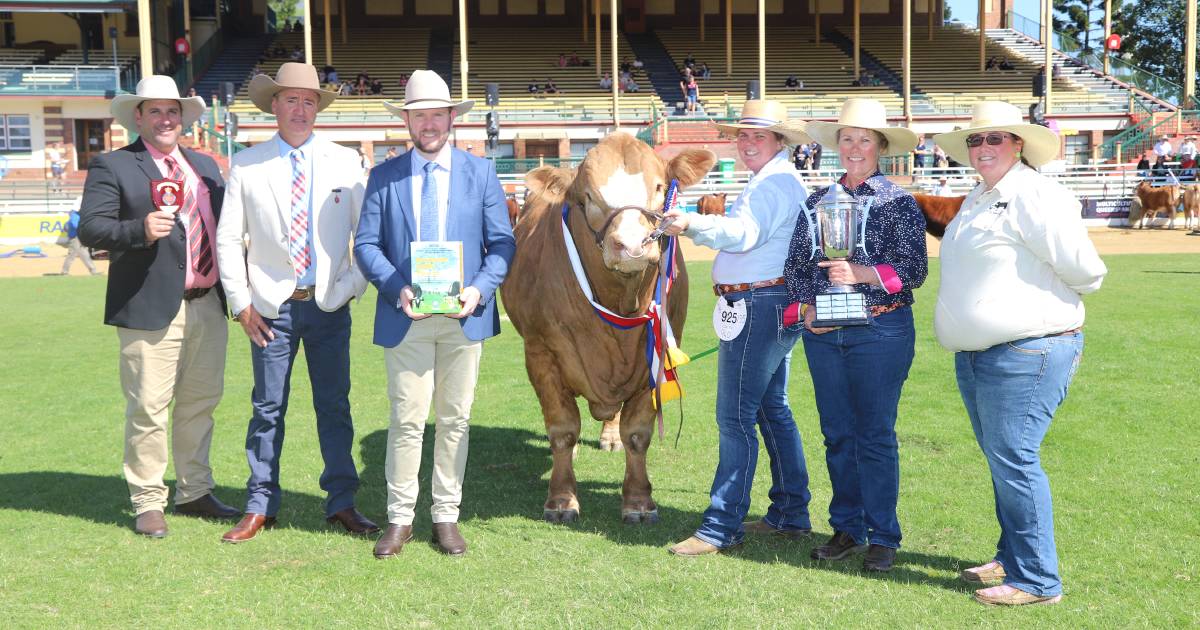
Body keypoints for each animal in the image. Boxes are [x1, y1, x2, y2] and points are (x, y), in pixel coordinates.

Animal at [496, 135, 710, 523]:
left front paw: (638, 502)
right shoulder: (541, 352)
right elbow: (562, 429)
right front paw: (561, 500)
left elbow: (637, 433)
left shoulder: (654, 356)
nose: (632, 245)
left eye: (659, 187)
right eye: (588, 197)